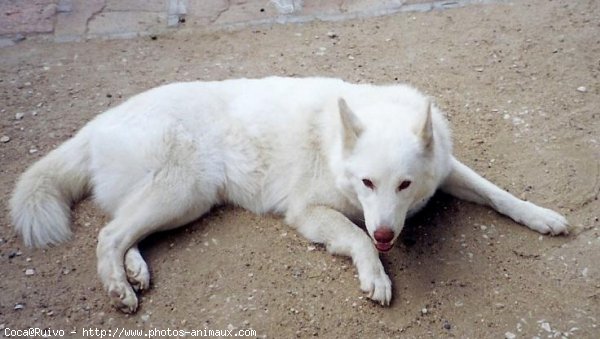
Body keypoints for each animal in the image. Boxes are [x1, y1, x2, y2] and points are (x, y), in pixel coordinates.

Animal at [11, 76, 568, 314]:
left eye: (404, 185)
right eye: (367, 184)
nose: (388, 233)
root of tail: (93, 128)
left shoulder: (447, 171)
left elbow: (498, 194)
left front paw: (542, 216)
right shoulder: (309, 213)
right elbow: (356, 239)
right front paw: (376, 275)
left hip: (181, 202)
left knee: (122, 232)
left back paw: (135, 271)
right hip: (184, 192)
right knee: (108, 234)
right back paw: (120, 290)